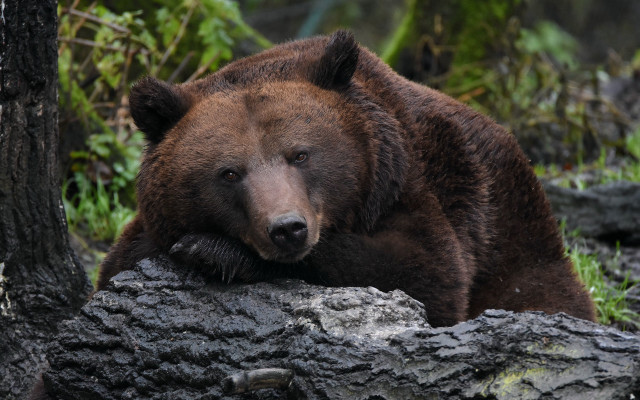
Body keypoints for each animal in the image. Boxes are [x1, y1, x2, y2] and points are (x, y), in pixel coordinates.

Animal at [96, 30, 596, 328]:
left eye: (300, 154)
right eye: (229, 172)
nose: (287, 229)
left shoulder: (412, 189)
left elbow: (424, 274)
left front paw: (213, 250)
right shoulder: (144, 233)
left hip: (514, 239)